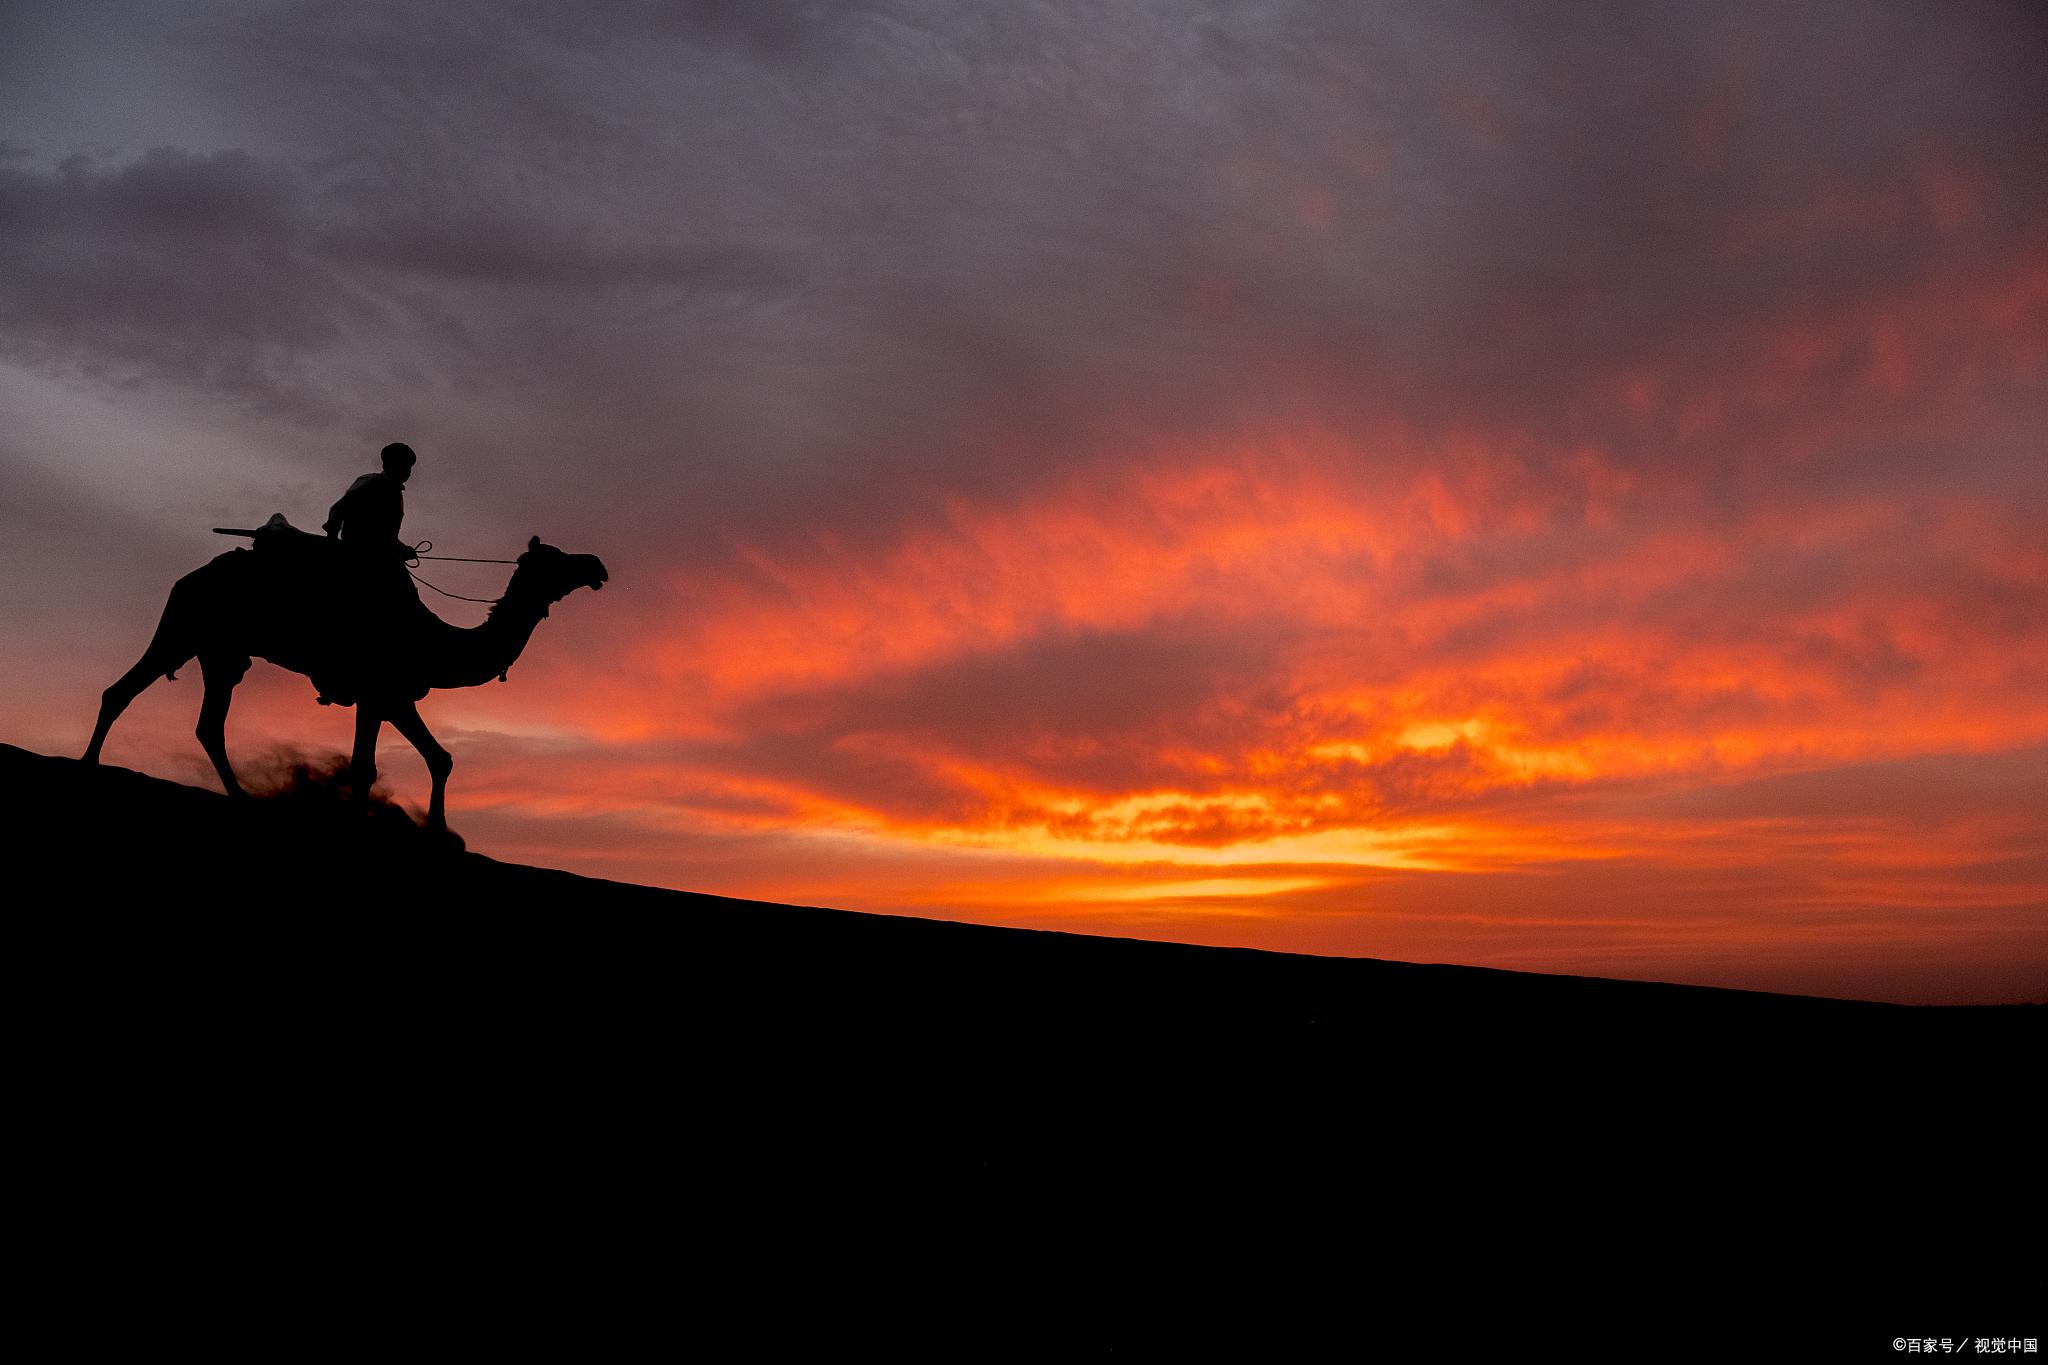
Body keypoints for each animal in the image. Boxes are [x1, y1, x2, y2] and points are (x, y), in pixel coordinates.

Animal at [86, 527, 606, 826]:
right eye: (557, 558)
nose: (596, 564)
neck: (432, 640)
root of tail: (190, 576)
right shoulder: (379, 693)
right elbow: (366, 768)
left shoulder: (392, 697)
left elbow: (438, 759)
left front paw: (438, 830)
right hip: (185, 626)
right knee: (124, 692)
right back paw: (91, 766)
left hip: (220, 651)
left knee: (200, 720)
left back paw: (239, 796)